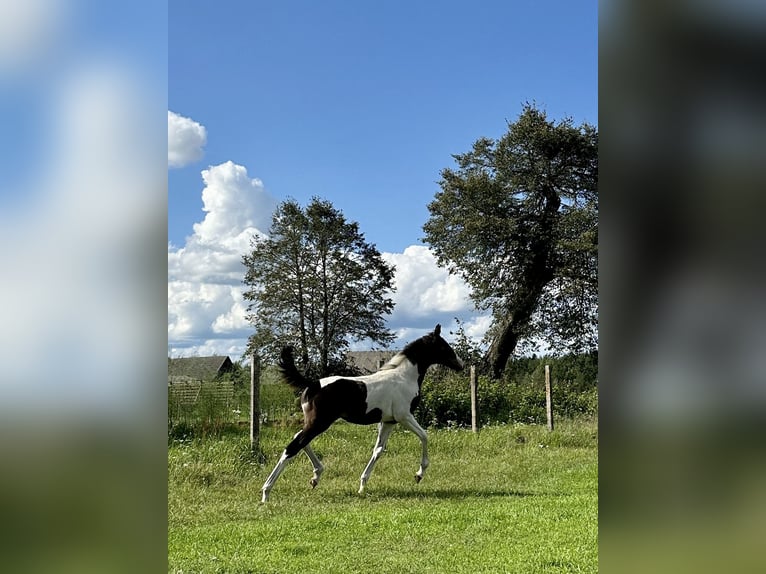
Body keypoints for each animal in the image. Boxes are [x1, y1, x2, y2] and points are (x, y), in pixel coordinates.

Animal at [260, 324, 464, 504]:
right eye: (444, 346)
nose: (460, 365)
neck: (404, 377)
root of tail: (312, 384)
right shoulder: (404, 416)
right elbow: (424, 436)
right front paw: (419, 475)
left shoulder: (388, 421)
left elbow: (378, 450)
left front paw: (362, 485)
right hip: (320, 422)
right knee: (293, 446)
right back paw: (266, 492)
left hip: (315, 422)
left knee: (299, 439)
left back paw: (316, 476)